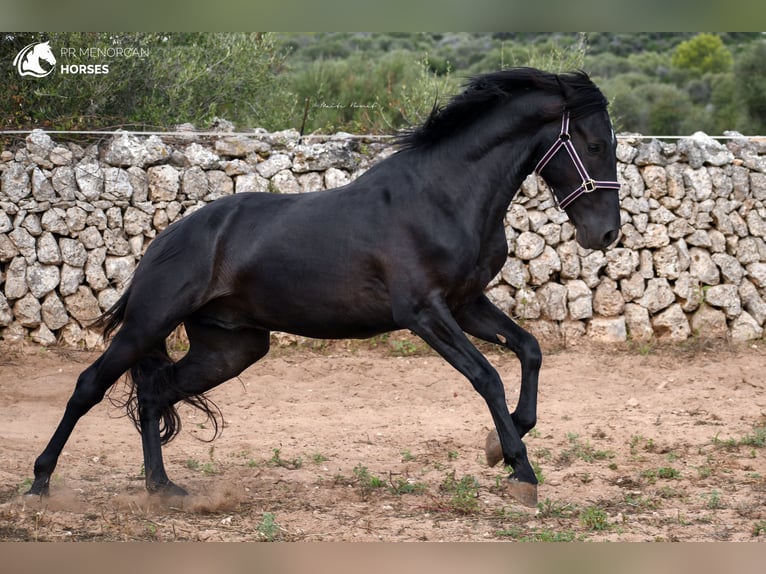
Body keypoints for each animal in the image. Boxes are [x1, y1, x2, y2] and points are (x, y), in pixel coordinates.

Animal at [27, 68, 620, 508]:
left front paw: (502, 447)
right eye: (593, 144)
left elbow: (530, 350)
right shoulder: (425, 313)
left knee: (155, 393)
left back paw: (163, 489)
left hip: (231, 347)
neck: (442, 197)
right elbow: (488, 377)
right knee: (89, 387)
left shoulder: (466, 303)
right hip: (149, 323)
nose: (607, 234)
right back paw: (39, 484)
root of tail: (165, 240)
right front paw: (521, 471)